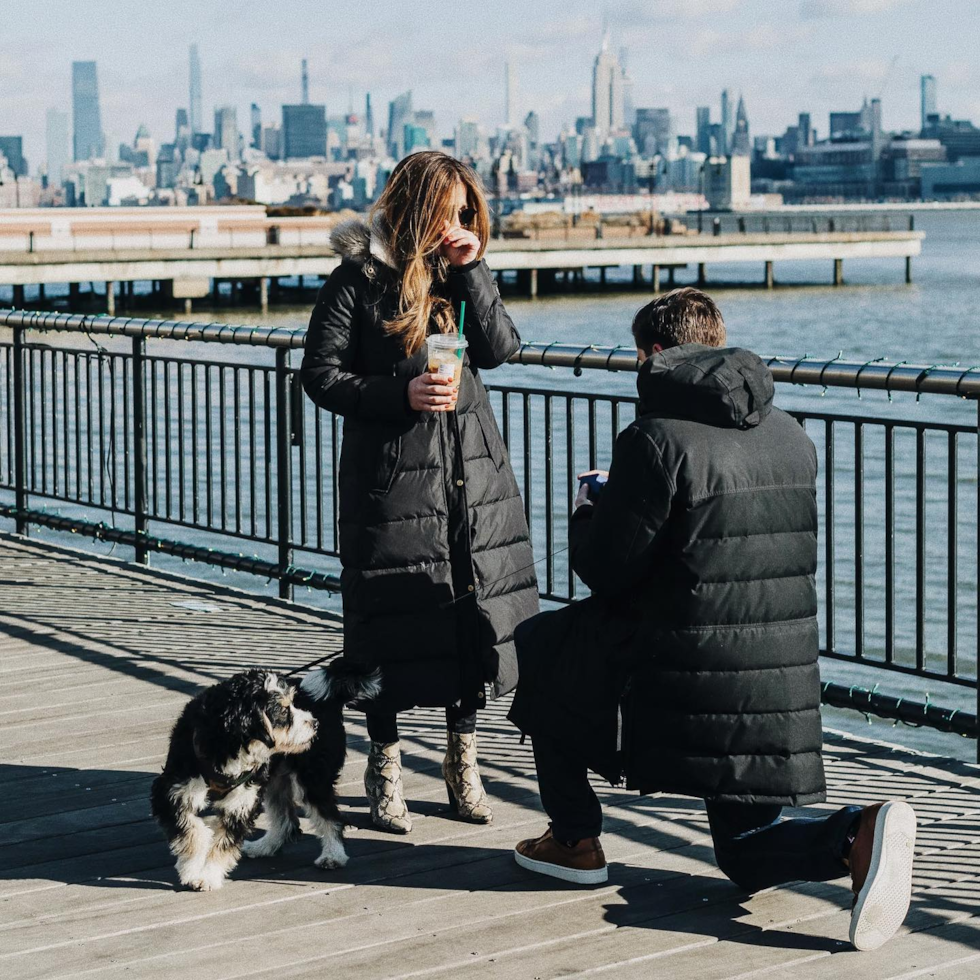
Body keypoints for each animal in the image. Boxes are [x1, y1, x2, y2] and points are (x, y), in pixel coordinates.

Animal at [150, 664, 378, 892]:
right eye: (284, 710)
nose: (314, 724)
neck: (227, 747)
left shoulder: (240, 802)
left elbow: (223, 844)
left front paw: (208, 876)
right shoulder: (172, 791)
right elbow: (191, 831)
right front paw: (192, 867)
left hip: (313, 776)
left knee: (331, 817)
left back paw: (333, 855)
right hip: (277, 781)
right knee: (285, 821)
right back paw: (263, 847)